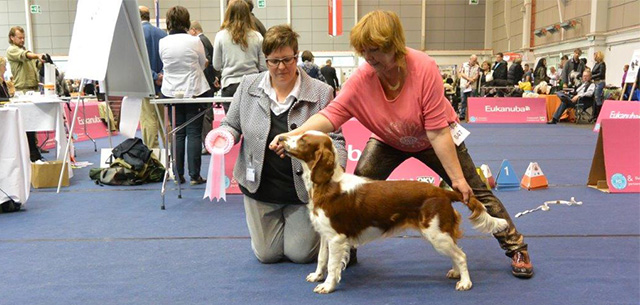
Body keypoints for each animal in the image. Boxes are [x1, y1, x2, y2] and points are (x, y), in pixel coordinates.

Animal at [280, 130, 510, 292]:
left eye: (303, 140)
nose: (281, 138)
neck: (328, 184)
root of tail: (444, 192)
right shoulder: (325, 234)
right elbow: (322, 259)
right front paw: (316, 276)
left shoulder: (337, 238)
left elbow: (332, 265)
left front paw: (327, 286)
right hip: (441, 233)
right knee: (456, 251)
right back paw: (455, 273)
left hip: (436, 233)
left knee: (461, 255)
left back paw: (465, 282)